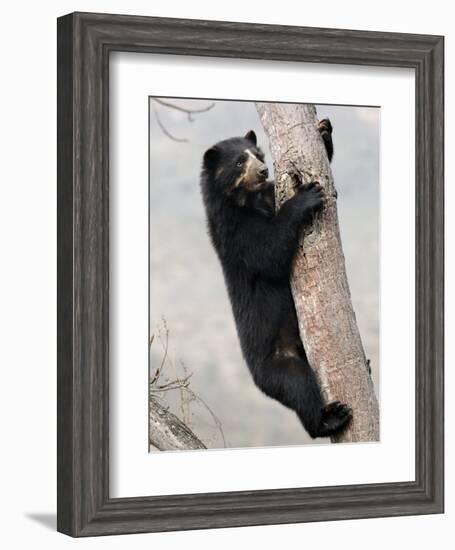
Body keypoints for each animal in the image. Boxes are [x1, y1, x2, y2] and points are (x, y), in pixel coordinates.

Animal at [201, 119, 354, 440]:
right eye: (239, 161)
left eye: (258, 154)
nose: (263, 170)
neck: (248, 199)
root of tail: (257, 379)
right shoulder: (236, 232)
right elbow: (269, 251)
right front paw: (306, 196)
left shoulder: (267, 195)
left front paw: (324, 131)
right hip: (280, 363)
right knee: (299, 387)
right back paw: (329, 420)